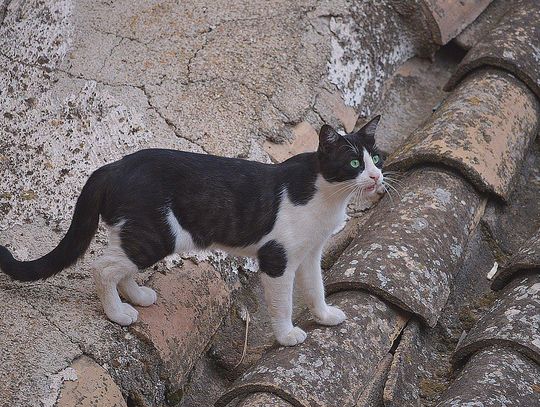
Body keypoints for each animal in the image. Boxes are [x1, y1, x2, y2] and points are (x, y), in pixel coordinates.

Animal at [1, 115, 388, 348]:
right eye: (354, 162)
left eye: (378, 158)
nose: (376, 176)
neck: (327, 195)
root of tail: (113, 165)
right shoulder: (277, 258)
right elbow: (283, 303)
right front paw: (287, 334)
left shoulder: (309, 253)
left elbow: (316, 287)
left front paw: (325, 316)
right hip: (157, 234)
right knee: (102, 267)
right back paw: (118, 313)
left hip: (138, 232)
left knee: (119, 263)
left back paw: (136, 296)